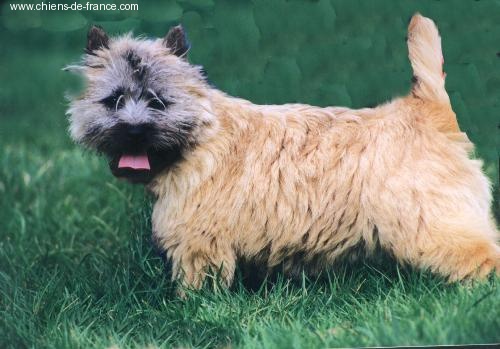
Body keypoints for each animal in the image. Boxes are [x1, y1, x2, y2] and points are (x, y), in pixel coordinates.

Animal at [67, 13, 500, 290]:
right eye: (114, 100)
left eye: (159, 101)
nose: (134, 132)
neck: (200, 136)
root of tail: (429, 111)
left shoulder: (199, 243)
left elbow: (198, 287)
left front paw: (189, 308)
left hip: (433, 222)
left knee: (484, 253)